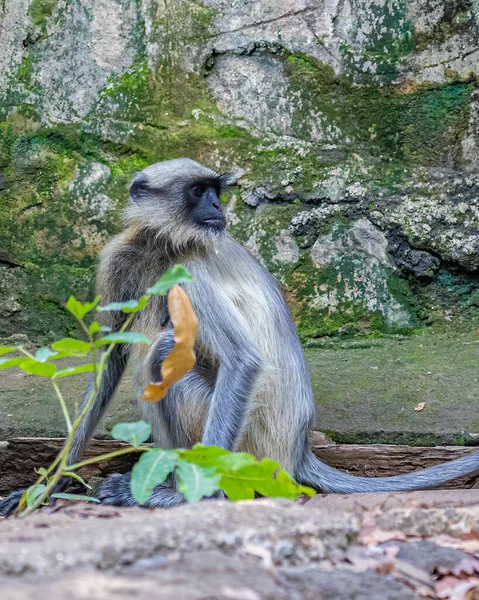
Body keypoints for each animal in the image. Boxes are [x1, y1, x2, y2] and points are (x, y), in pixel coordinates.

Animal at [2, 157, 479, 512]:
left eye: (215, 189)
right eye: (199, 191)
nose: (218, 206)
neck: (166, 245)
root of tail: (296, 449)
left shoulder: (189, 272)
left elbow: (242, 361)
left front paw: (185, 497)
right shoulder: (121, 258)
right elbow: (109, 361)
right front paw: (45, 487)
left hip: (249, 447)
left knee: (163, 352)